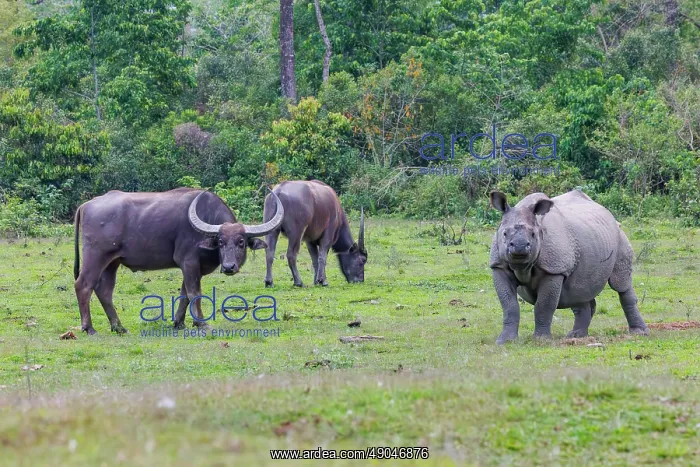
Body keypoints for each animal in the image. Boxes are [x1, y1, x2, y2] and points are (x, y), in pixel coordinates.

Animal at [73, 188, 284, 334]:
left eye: (241, 242)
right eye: (221, 242)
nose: (229, 267)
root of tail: (86, 205)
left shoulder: (191, 268)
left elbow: (184, 294)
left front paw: (179, 323)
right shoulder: (188, 262)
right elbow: (194, 293)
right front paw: (202, 323)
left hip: (112, 262)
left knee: (104, 290)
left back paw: (118, 327)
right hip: (95, 256)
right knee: (83, 285)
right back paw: (89, 328)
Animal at [489, 189, 649, 344]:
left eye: (533, 234)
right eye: (504, 233)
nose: (520, 247)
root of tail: (608, 213)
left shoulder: (554, 270)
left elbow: (543, 306)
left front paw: (541, 341)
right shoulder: (498, 266)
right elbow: (509, 306)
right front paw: (505, 341)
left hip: (619, 235)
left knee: (620, 284)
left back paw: (640, 333)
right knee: (578, 290)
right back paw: (577, 336)